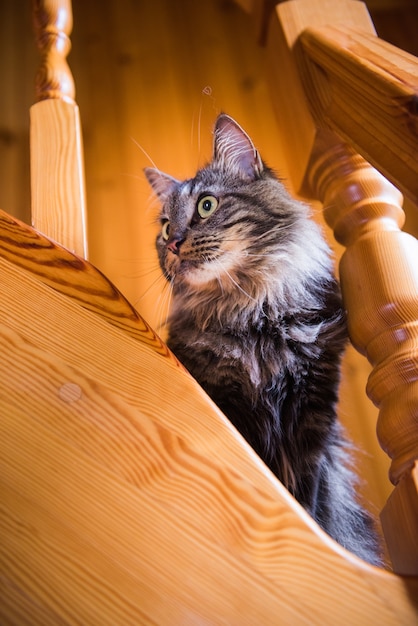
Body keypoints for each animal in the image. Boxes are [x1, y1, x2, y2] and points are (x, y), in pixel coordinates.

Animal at [144, 113, 382, 564]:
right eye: (165, 227)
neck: (254, 314)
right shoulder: (230, 409)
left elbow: (306, 506)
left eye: (206, 205)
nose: (174, 243)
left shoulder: (311, 417)